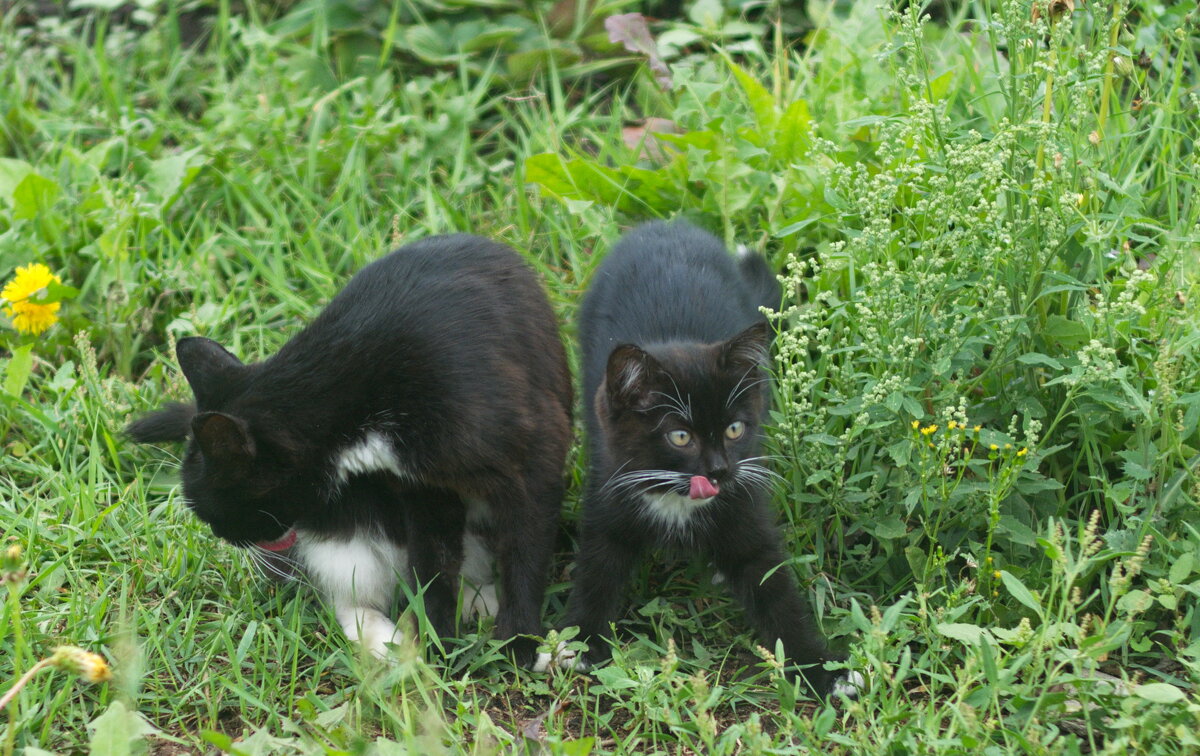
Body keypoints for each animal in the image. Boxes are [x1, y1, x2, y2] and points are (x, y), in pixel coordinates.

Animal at [126, 234, 571, 667]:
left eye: (216, 511)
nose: (227, 538)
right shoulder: (423, 487)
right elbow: (434, 564)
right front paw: (435, 645)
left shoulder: (533, 458)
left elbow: (523, 552)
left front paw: (520, 641)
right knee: (351, 598)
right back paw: (390, 643)